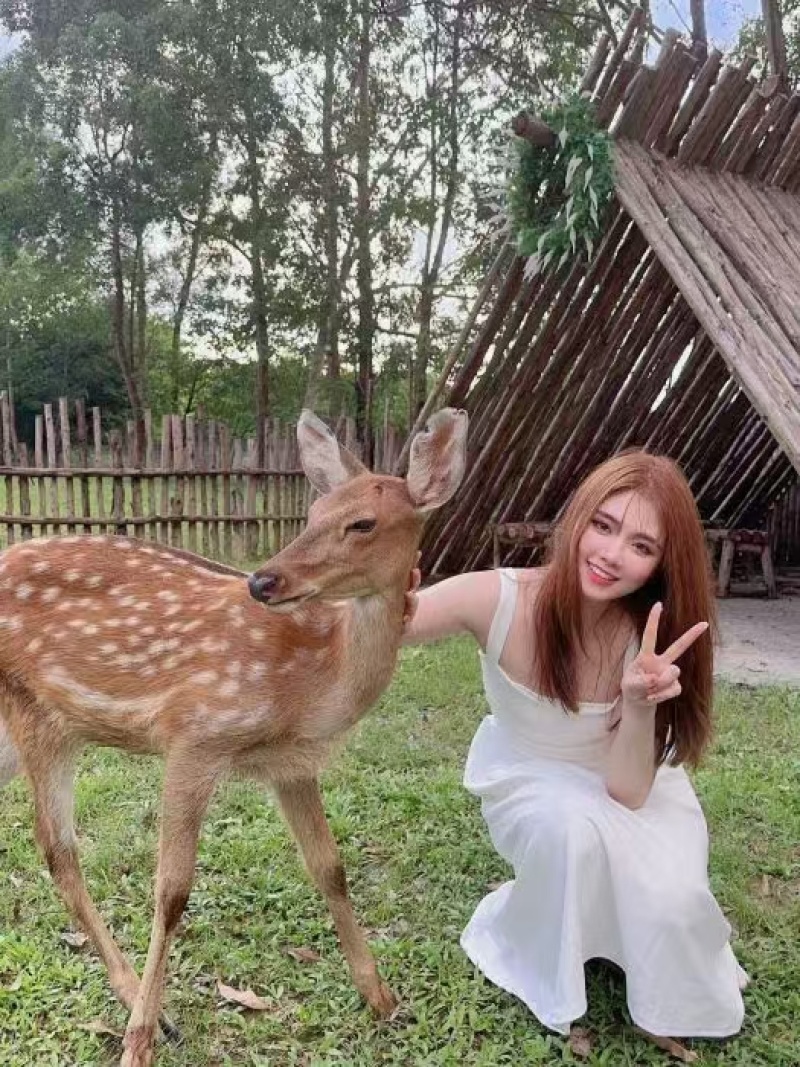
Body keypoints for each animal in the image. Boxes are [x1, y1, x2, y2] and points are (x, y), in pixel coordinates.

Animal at [0, 407, 467, 1067]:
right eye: (312, 513)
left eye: (362, 522)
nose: (264, 581)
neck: (312, 687)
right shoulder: (195, 733)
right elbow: (171, 891)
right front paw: (139, 1042)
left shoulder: (292, 764)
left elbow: (330, 868)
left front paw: (382, 999)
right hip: (39, 715)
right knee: (58, 850)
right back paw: (148, 1011)